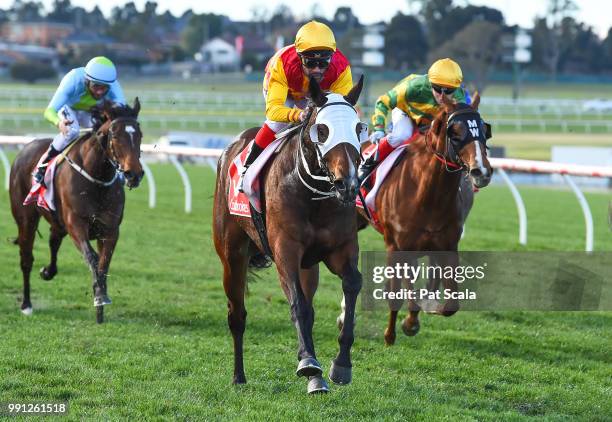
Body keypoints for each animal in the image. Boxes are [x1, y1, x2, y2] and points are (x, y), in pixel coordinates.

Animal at [9, 98, 143, 324]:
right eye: (115, 135)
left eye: (140, 134)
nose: (134, 174)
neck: (96, 177)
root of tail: (25, 148)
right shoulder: (76, 225)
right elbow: (92, 258)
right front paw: (99, 298)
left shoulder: (110, 230)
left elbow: (104, 264)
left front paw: (101, 301)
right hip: (26, 218)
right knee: (26, 258)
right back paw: (26, 304)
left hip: (57, 222)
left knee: (53, 241)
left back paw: (48, 272)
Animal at [214, 76, 366, 396]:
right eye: (323, 130)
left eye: (359, 128)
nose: (347, 184)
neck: (313, 195)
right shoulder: (285, 250)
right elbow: (297, 303)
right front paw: (308, 361)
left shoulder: (340, 249)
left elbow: (352, 284)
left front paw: (340, 364)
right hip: (232, 253)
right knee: (237, 315)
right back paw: (238, 376)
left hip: (309, 264)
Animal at [350, 94, 492, 344]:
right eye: (455, 131)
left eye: (484, 130)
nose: (480, 171)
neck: (428, 197)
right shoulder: (397, 246)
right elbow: (397, 292)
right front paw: (395, 331)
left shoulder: (447, 246)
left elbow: (450, 304)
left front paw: (423, 308)